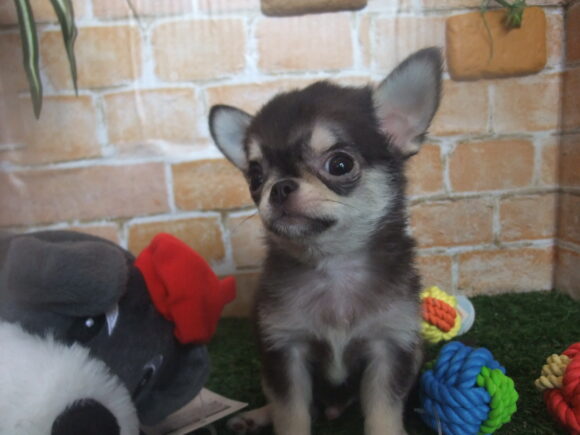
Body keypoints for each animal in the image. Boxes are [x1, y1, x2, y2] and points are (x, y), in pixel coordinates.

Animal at [208, 47, 443, 435]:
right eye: (255, 177)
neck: (334, 266)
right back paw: (255, 417)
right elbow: (291, 413)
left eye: (340, 164)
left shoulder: (390, 347)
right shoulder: (284, 350)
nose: (279, 187)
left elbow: (383, 412)